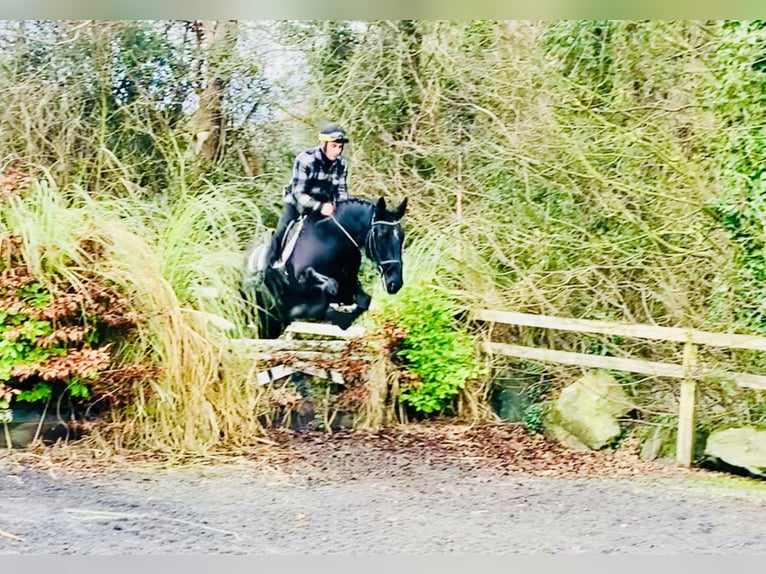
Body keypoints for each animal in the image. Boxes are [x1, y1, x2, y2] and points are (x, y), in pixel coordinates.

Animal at [242, 196, 408, 340]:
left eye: (401, 236)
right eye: (382, 235)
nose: (395, 283)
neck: (331, 239)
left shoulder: (348, 285)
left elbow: (363, 301)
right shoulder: (303, 282)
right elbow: (329, 288)